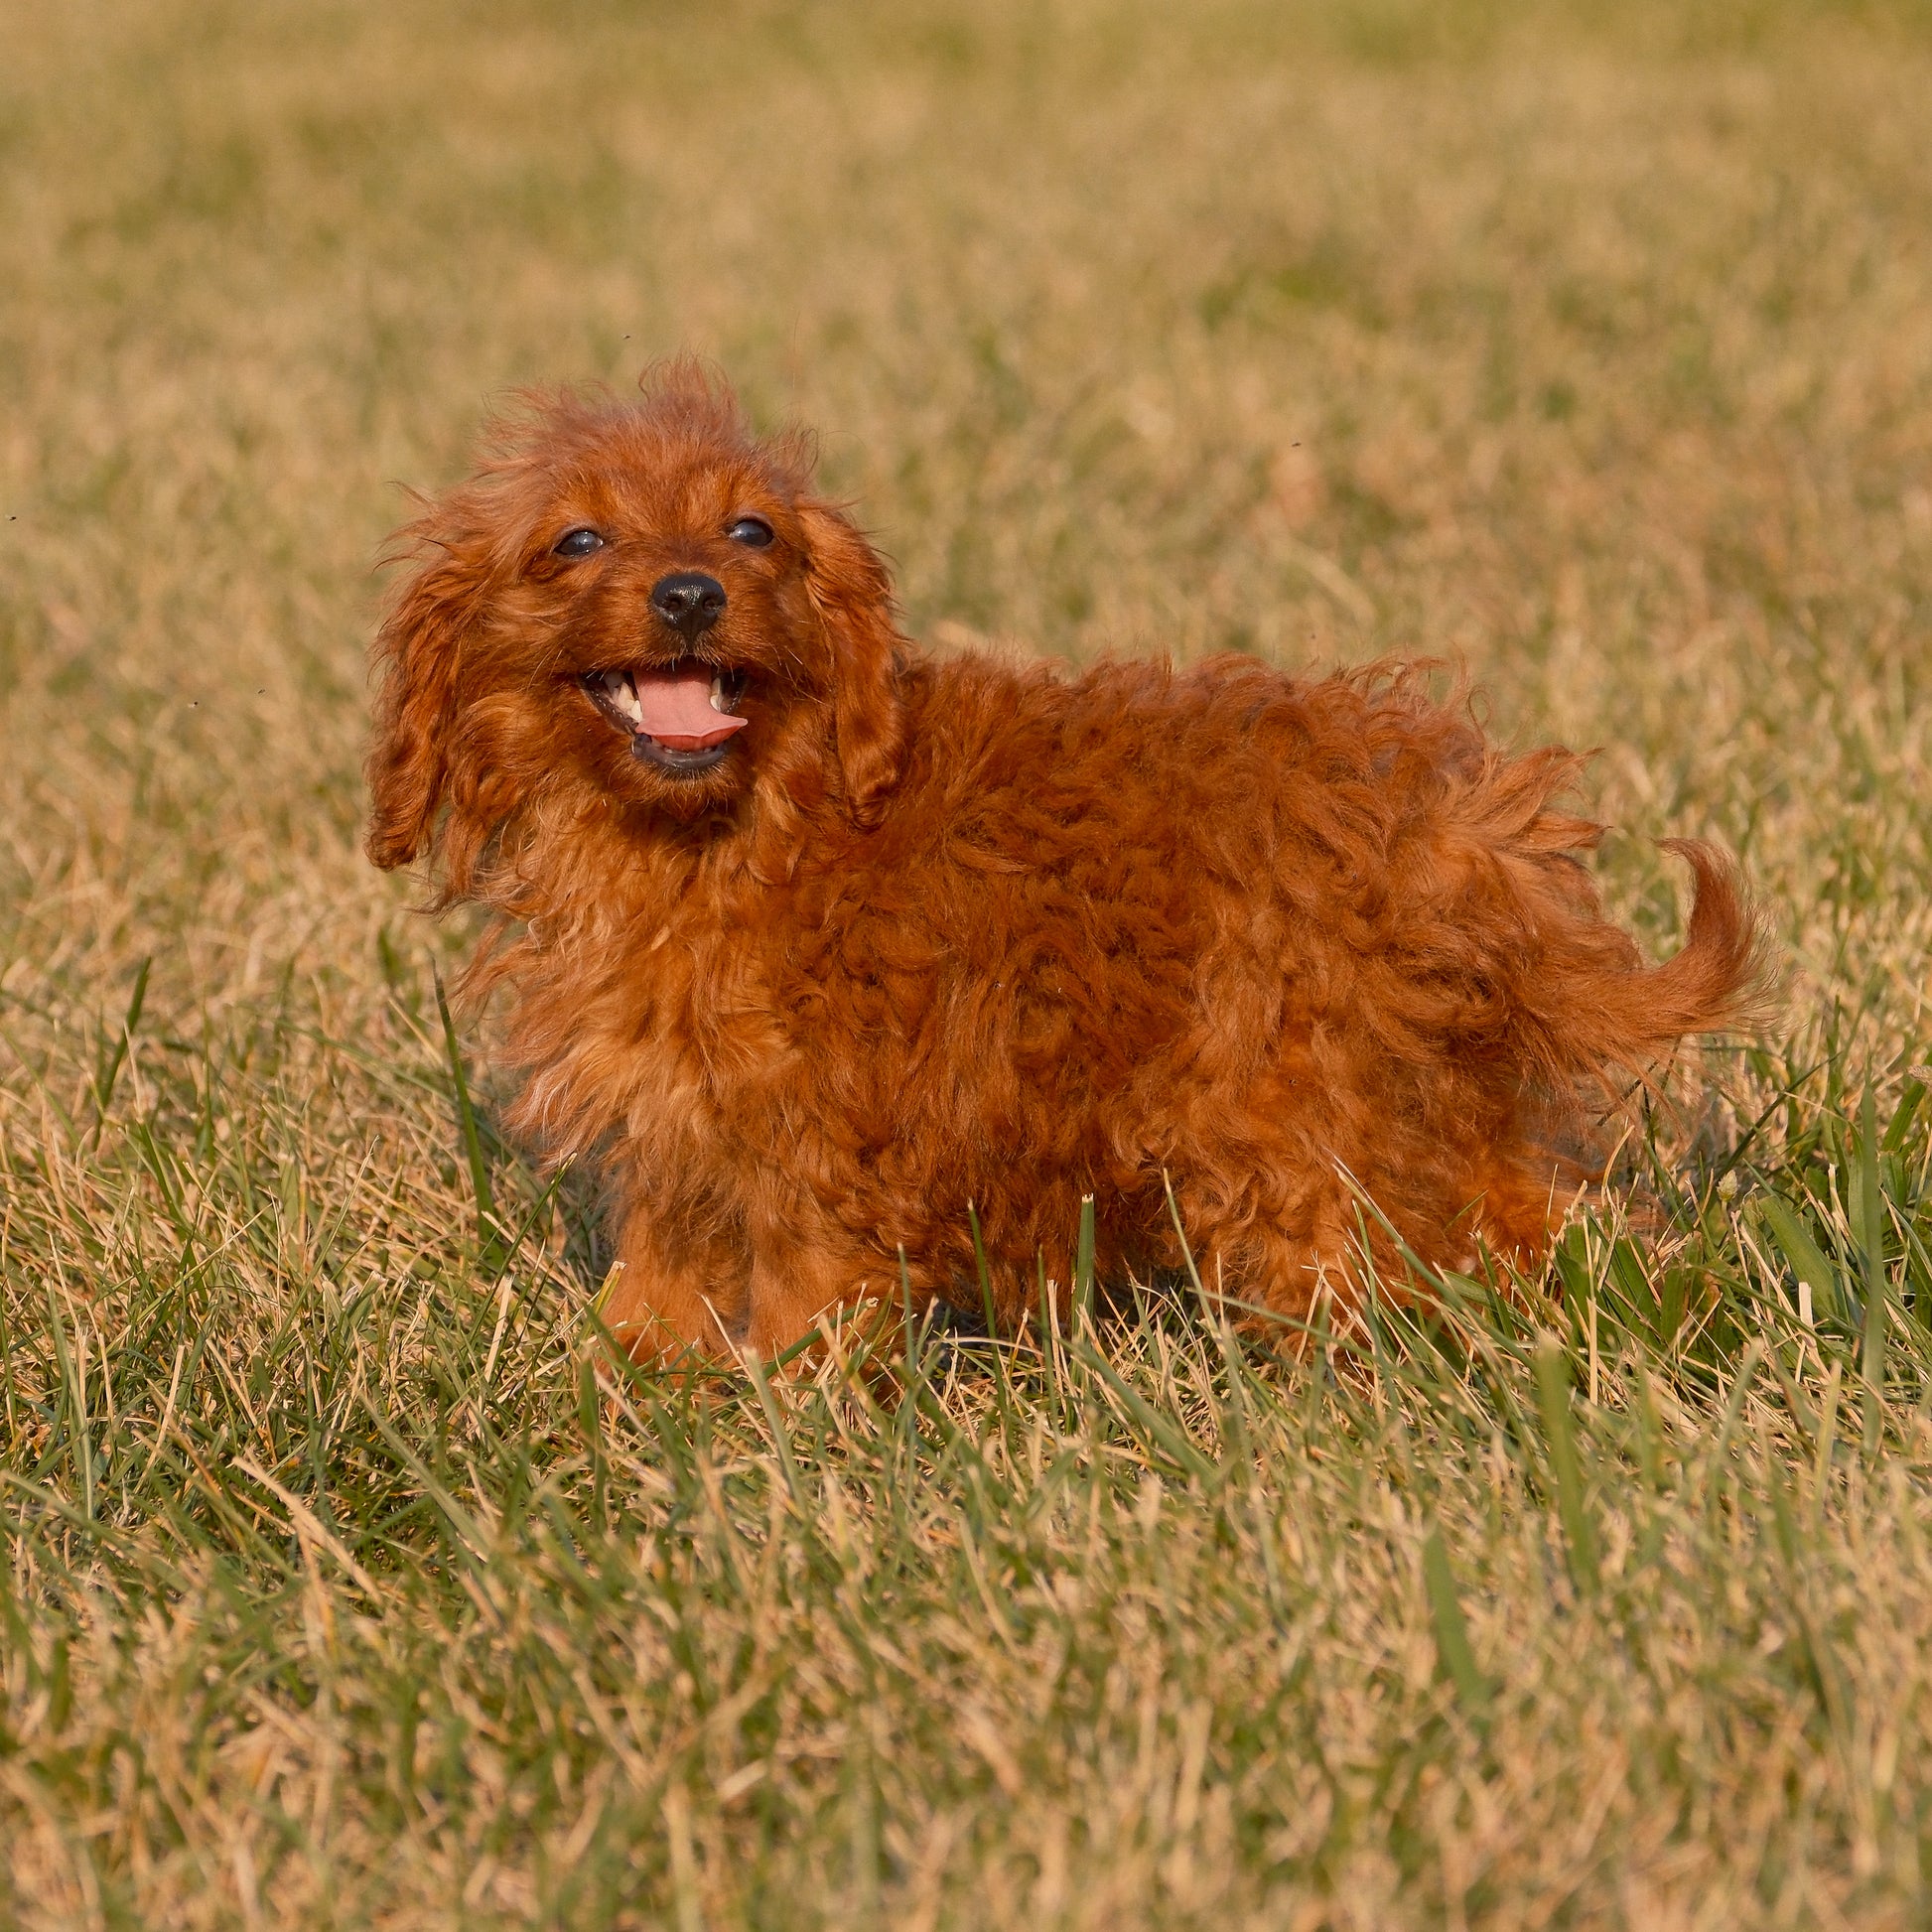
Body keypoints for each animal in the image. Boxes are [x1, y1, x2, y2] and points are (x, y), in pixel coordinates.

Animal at [362, 362, 1769, 1359]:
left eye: (752, 533)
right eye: (577, 544)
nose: (693, 593)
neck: (728, 827)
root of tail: (1447, 831)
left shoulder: (822, 1154)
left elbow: (807, 1321)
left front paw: (777, 1443)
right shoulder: (684, 1151)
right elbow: (648, 1305)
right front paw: (614, 1409)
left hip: (1292, 1122)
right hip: (1410, 1102)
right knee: (1539, 1221)